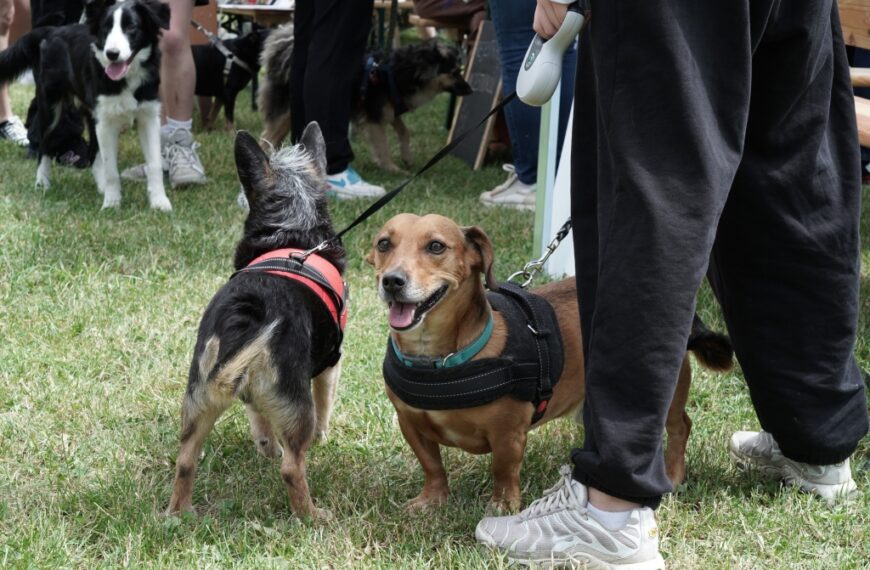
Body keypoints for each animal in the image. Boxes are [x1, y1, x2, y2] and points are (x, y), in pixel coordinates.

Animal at [260, 31, 474, 169]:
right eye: (455, 72)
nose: (470, 90)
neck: (403, 70)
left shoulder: (389, 110)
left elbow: (405, 132)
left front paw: (406, 157)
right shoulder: (374, 116)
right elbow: (382, 144)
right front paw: (391, 167)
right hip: (285, 113)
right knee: (266, 137)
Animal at [364, 213, 732, 510]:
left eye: (436, 246)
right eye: (384, 243)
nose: (392, 281)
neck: (440, 360)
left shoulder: (508, 434)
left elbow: (503, 471)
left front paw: (502, 508)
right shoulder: (410, 423)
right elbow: (432, 466)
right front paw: (432, 500)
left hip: (668, 392)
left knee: (680, 427)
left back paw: (673, 475)